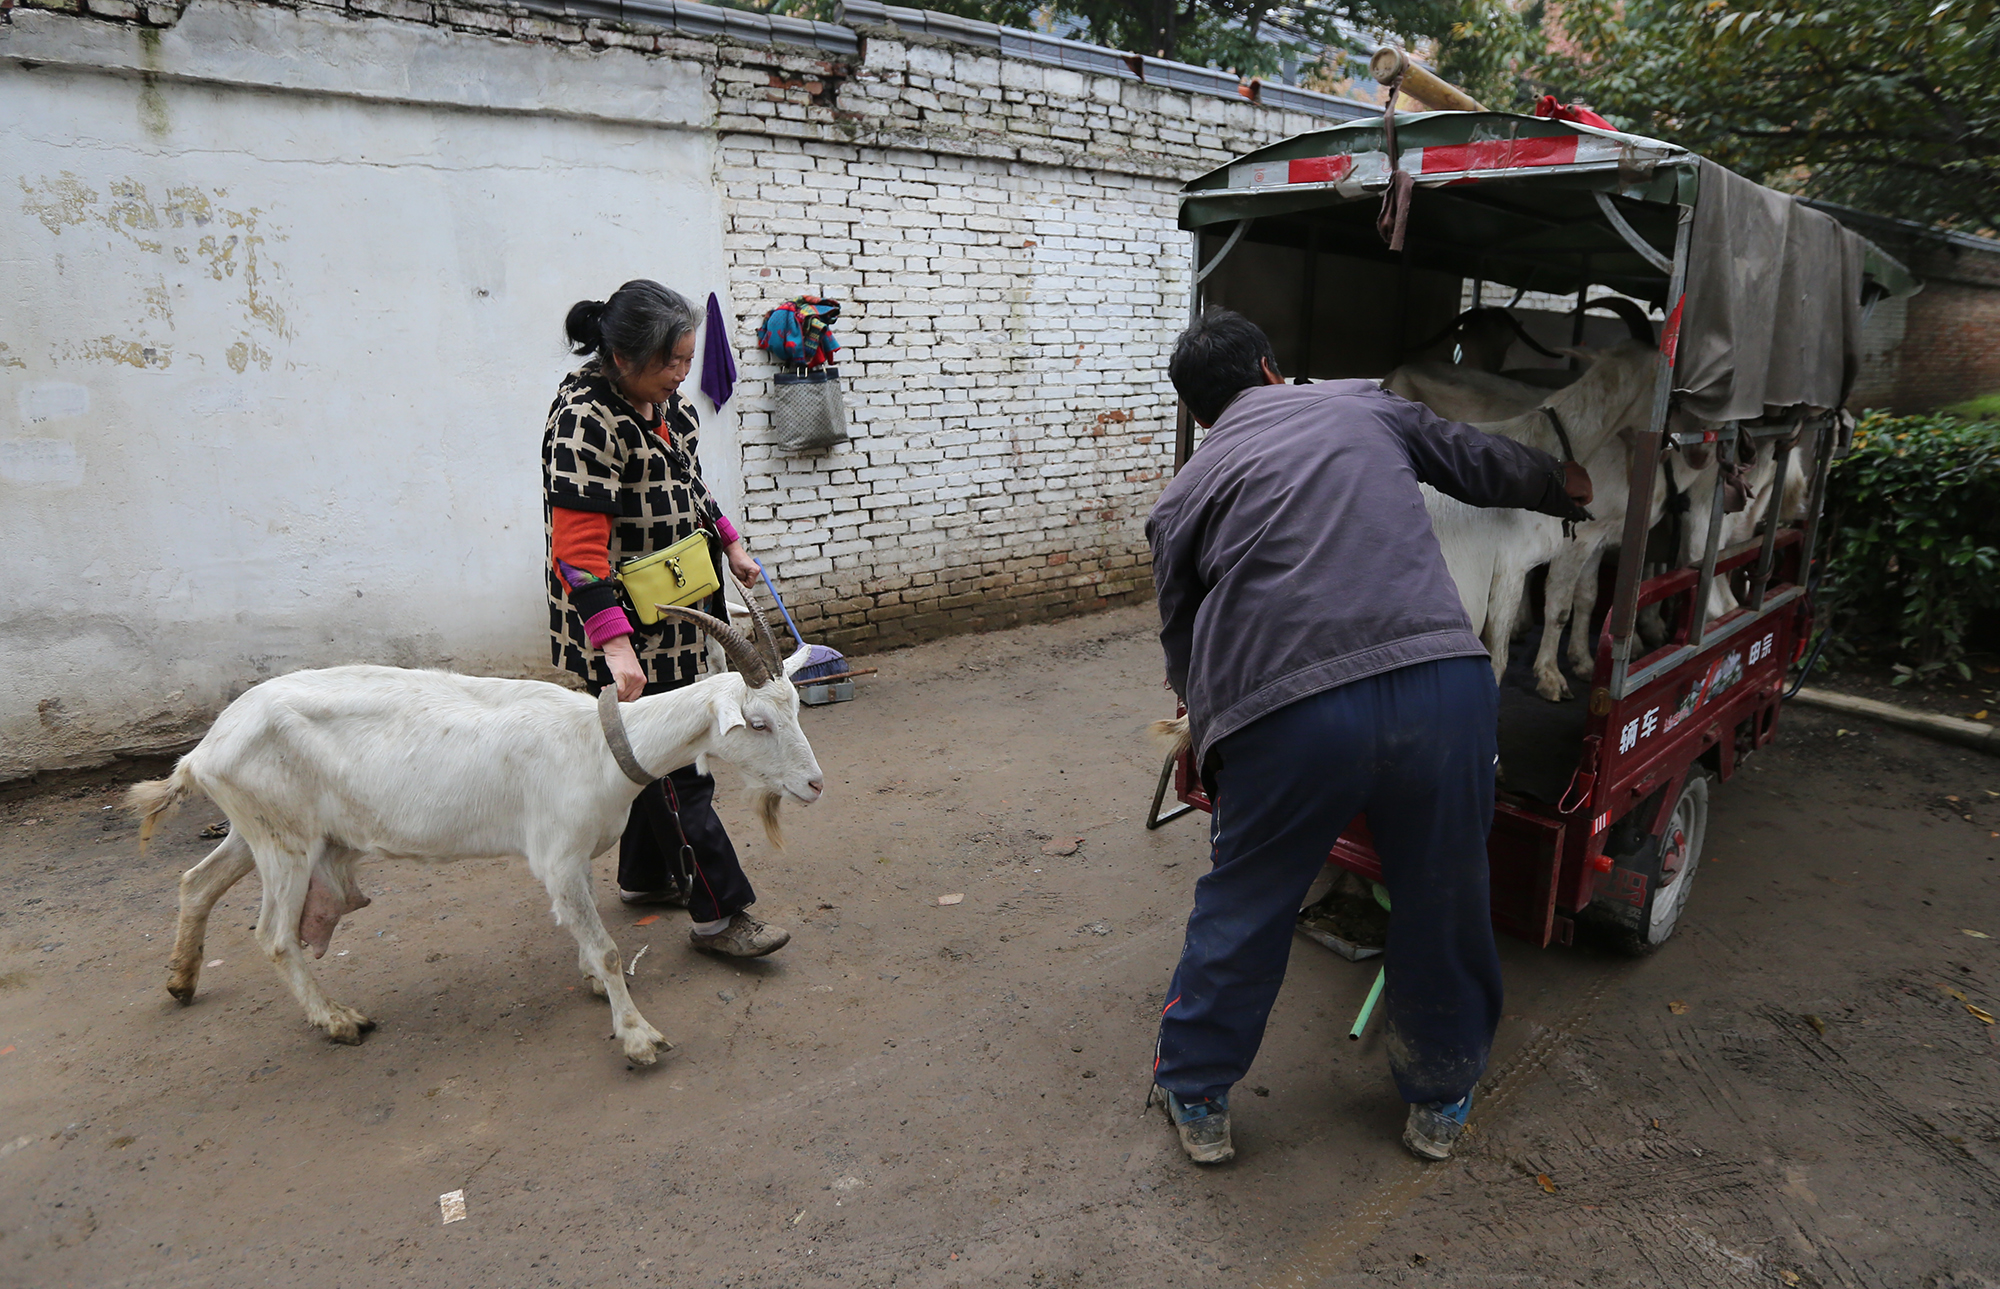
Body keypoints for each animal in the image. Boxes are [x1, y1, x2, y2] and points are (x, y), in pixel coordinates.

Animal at [127, 604, 820, 1064]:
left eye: (793, 707)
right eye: (758, 723)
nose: (814, 785)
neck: (598, 742)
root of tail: (203, 751)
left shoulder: (571, 858)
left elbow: (583, 932)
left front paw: (596, 987)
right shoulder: (555, 855)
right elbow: (606, 947)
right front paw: (638, 1036)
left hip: (259, 831)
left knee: (195, 883)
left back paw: (181, 979)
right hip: (287, 844)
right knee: (274, 936)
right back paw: (339, 1020)